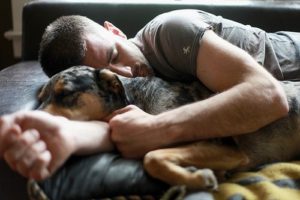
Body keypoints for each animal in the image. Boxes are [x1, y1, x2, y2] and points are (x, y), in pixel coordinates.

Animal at [38, 65, 300, 191]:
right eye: (40, 98)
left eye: (65, 93)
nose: (31, 120)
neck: (137, 98)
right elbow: (155, 157)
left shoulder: (226, 148)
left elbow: (152, 157)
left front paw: (197, 178)